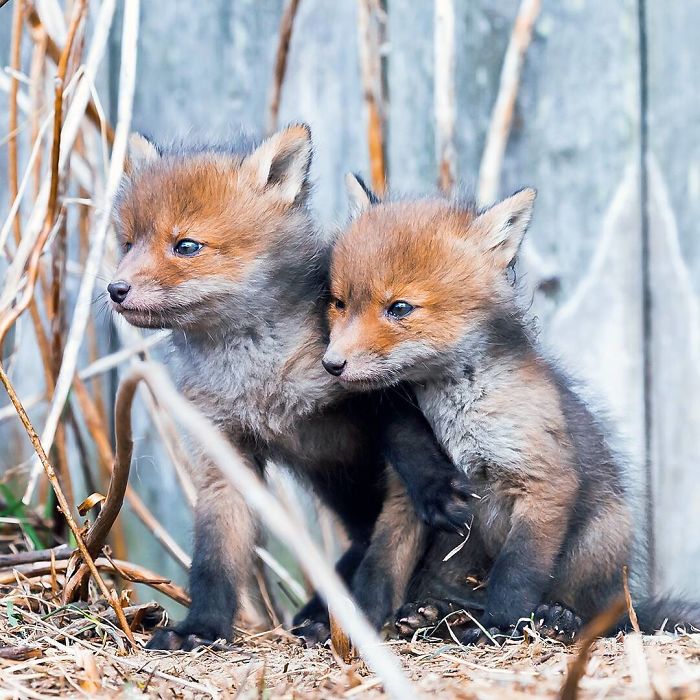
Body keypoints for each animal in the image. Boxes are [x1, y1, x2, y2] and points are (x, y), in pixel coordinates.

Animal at [107, 125, 475, 649]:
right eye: (127, 244)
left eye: (186, 246)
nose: (115, 289)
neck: (258, 377)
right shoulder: (224, 451)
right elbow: (214, 559)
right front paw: (201, 628)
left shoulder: (371, 383)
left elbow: (410, 442)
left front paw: (437, 489)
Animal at [322, 174, 700, 643]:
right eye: (339, 303)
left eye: (400, 308)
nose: (331, 364)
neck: (457, 412)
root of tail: (630, 602)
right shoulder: (408, 496)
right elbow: (379, 569)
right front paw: (360, 629)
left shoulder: (543, 481)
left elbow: (516, 573)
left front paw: (500, 626)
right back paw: (434, 614)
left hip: (603, 538)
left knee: (598, 616)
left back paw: (557, 618)